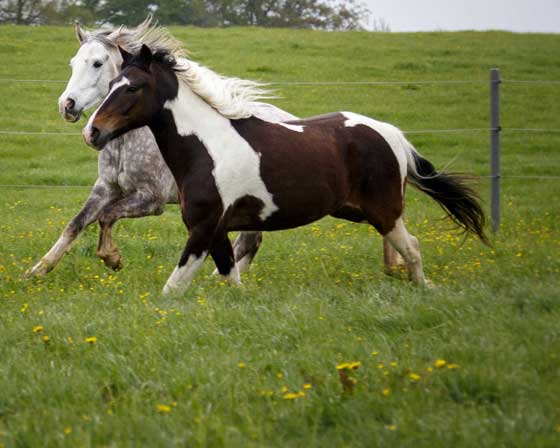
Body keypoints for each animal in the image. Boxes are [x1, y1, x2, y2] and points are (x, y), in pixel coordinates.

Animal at [82, 45, 486, 294]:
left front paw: (114, 260)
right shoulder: (217, 230)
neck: (206, 148)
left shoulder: (202, 228)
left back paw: (424, 287)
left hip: (384, 211)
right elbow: (230, 275)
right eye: (112, 83)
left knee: (412, 247)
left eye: (133, 87)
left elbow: (173, 286)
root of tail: (394, 136)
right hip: (356, 211)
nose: (92, 131)